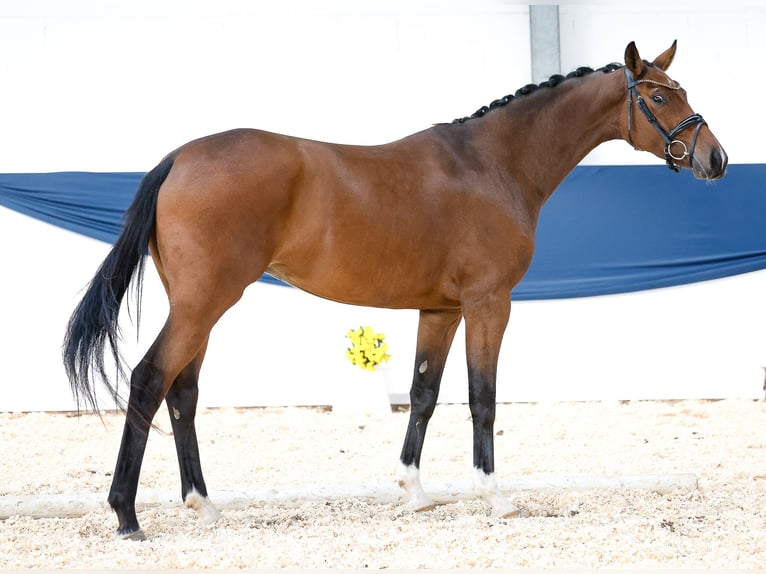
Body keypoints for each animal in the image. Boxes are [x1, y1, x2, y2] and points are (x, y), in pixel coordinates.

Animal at [64, 40, 728, 540]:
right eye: (660, 96)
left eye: (683, 90)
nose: (716, 159)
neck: (493, 164)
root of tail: (179, 158)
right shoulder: (489, 303)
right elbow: (482, 397)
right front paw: (494, 496)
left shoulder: (440, 309)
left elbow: (424, 394)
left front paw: (414, 491)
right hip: (205, 303)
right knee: (150, 379)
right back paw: (126, 516)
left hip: (199, 307)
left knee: (183, 392)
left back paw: (204, 504)